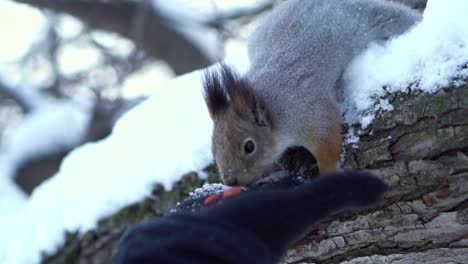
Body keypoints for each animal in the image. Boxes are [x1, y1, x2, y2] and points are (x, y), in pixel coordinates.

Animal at [202, 0, 420, 186]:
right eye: (213, 148)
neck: (270, 107)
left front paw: (327, 171)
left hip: (378, 18)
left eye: (249, 146)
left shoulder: (307, 111)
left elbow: (327, 139)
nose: (230, 181)